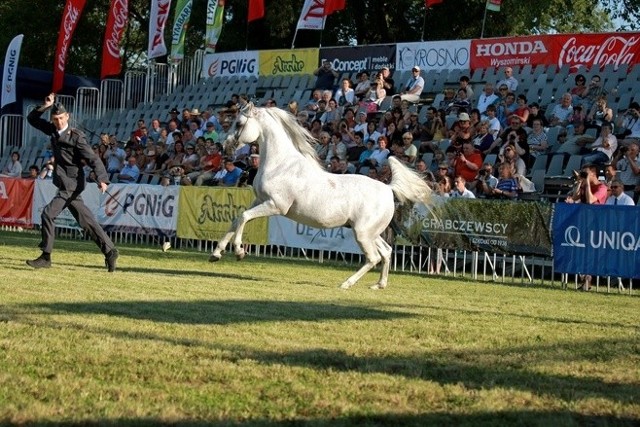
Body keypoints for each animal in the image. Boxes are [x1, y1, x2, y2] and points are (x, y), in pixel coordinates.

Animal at [210, 104, 436, 290]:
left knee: (373, 258)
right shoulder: (259, 200)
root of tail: (388, 189)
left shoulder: (275, 205)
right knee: (387, 252)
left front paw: (239, 251)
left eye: (239, 123)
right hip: (370, 232)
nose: (226, 147)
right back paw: (379, 285)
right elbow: (236, 219)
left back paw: (346, 284)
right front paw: (216, 254)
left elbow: (244, 217)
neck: (280, 164)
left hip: (362, 233)